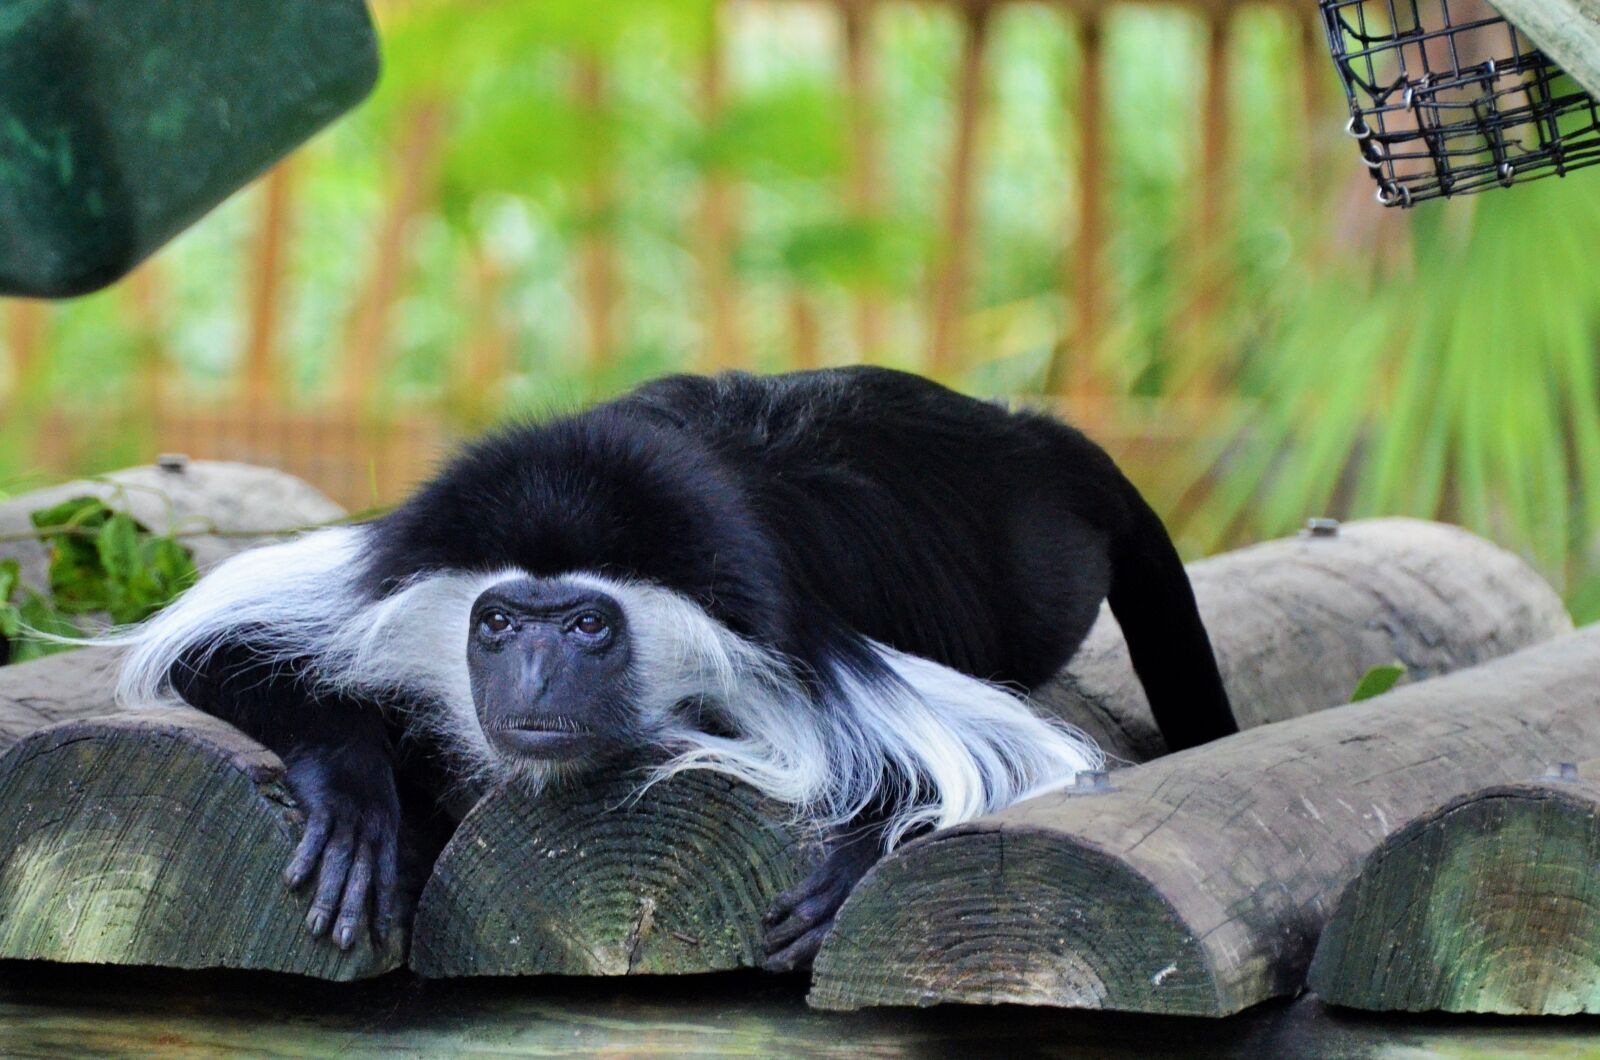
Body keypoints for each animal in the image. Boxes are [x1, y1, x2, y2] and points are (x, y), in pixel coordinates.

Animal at [108, 366, 1235, 969]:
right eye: (500, 623)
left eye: (586, 628)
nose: (533, 683)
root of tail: (1021, 438)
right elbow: (214, 639)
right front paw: (354, 802)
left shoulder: (782, 637)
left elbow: (1009, 758)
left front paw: (849, 870)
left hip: (1039, 570)